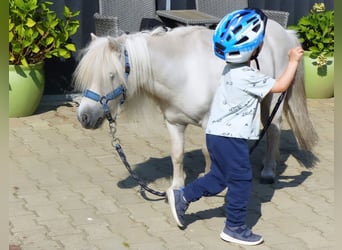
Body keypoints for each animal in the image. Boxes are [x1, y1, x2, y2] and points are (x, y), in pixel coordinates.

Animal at [73, 21, 318, 189]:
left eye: (111, 75)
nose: (84, 117)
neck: (184, 71)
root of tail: (285, 32)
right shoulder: (174, 123)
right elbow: (177, 154)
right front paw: (177, 187)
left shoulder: (209, 121)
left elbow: (207, 152)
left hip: (273, 98)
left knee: (273, 129)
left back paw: (268, 172)